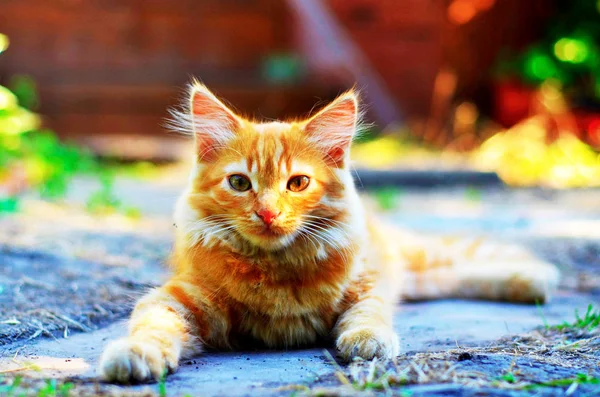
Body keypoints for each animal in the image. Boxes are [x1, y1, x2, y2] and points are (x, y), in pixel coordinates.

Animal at [97, 82, 556, 382]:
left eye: (297, 183)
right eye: (240, 183)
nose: (267, 212)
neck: (276, 271)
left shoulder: (368, 281)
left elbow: (370, 313)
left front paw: (368, 340)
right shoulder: (179, 297)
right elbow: (152, 325)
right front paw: (133, 354)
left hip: (409, 258)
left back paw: (536, 278)